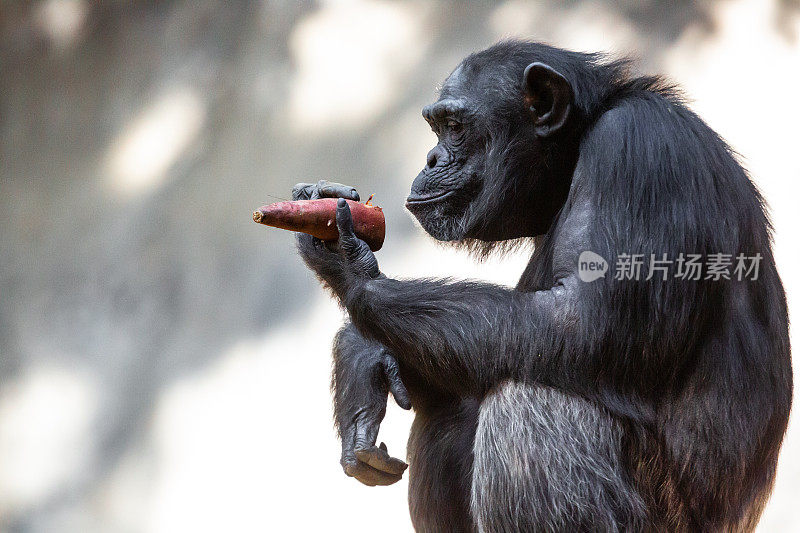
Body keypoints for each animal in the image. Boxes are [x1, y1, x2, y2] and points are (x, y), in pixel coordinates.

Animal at [290, 41, 792, 532]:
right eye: (437, 128)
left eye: (454, 127)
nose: (432, 158)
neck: (576, 149)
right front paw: (363, 360)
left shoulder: (639, 149)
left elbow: (580, 323)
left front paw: (349, 266)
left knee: (528, 402)